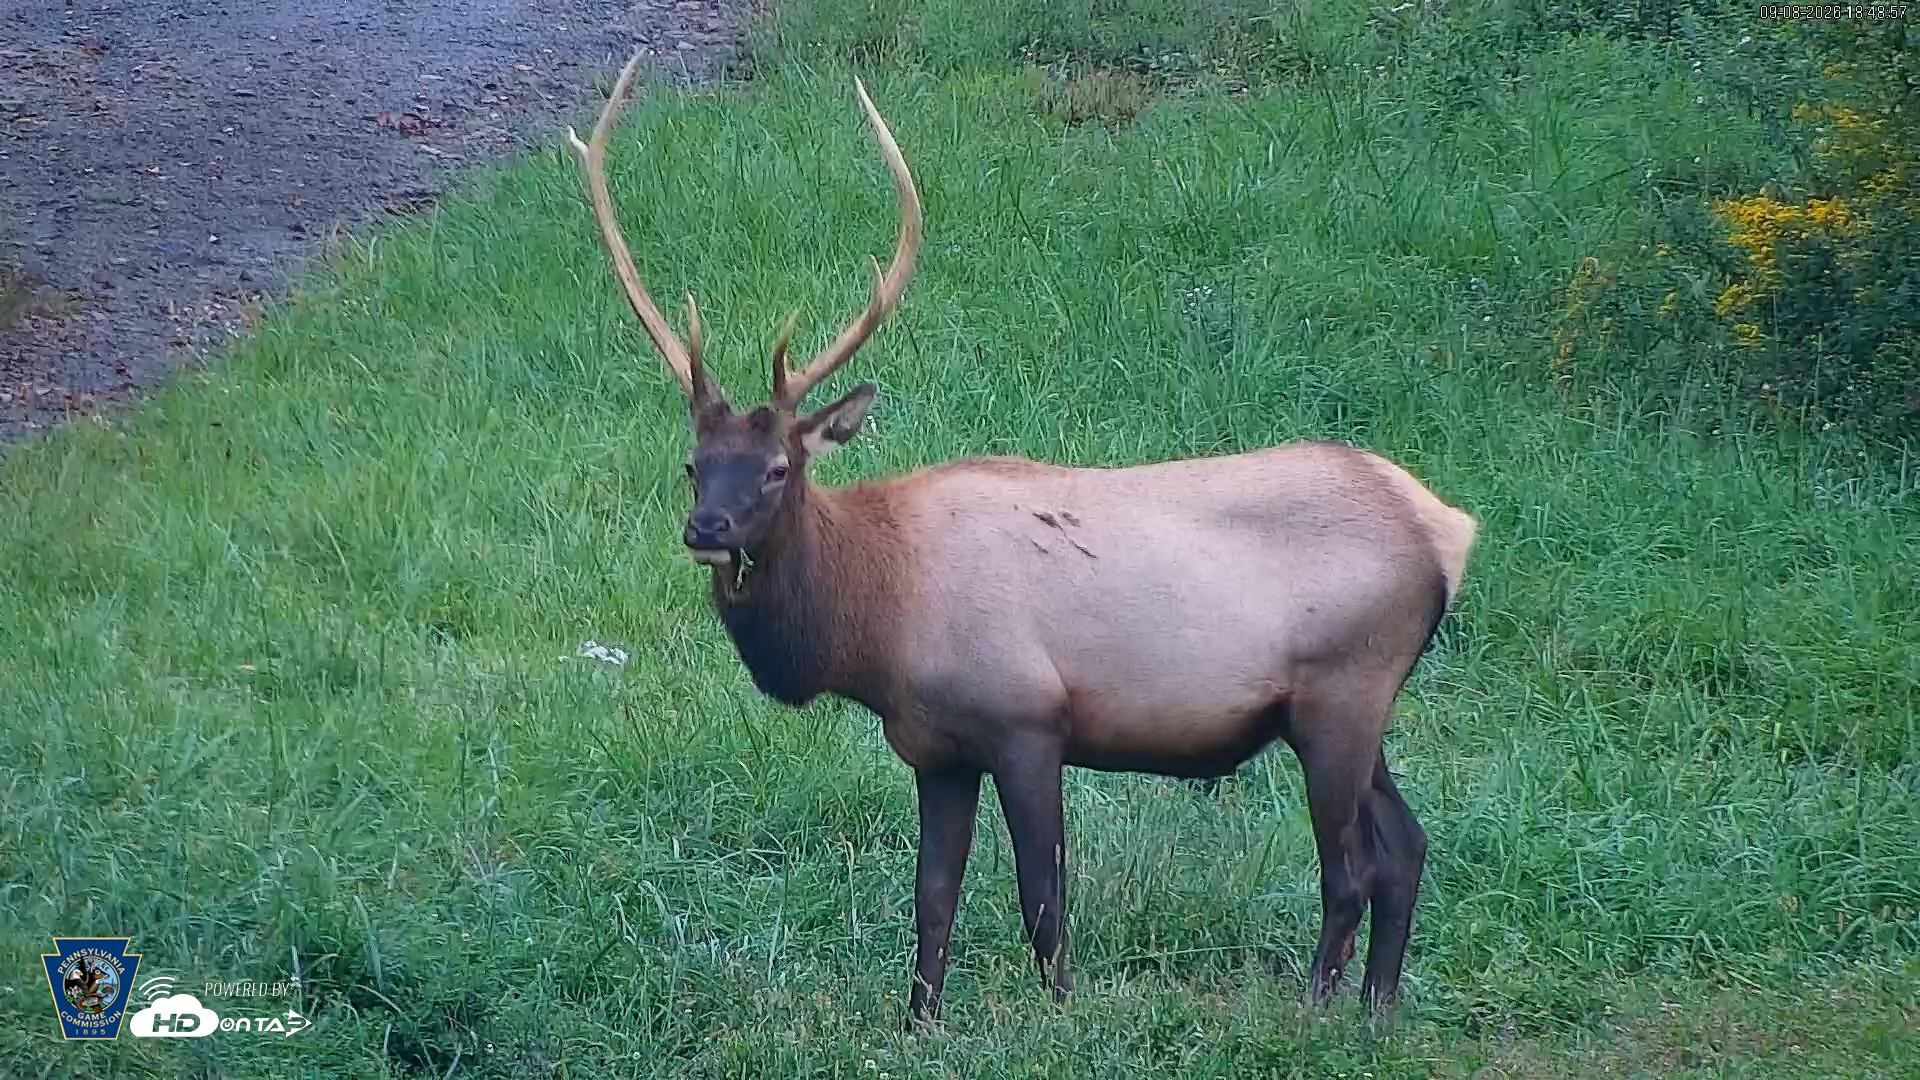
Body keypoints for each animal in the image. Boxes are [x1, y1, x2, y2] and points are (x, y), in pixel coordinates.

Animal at [565, 51, 1478, 1025]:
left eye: (778, 467)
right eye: (693, 465)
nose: (707, 527)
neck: (875, 628)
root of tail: (1448, 529)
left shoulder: (1028, 720)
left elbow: (1044, 898)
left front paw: (1061, 1017)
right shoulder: (934, 748)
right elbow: (933, 896)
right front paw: (918, 1023)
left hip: (1342, 692)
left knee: (1350, 868)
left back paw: (1317, 1014)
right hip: (1349, 707)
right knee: (1407, 847)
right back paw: (1378, 1014)